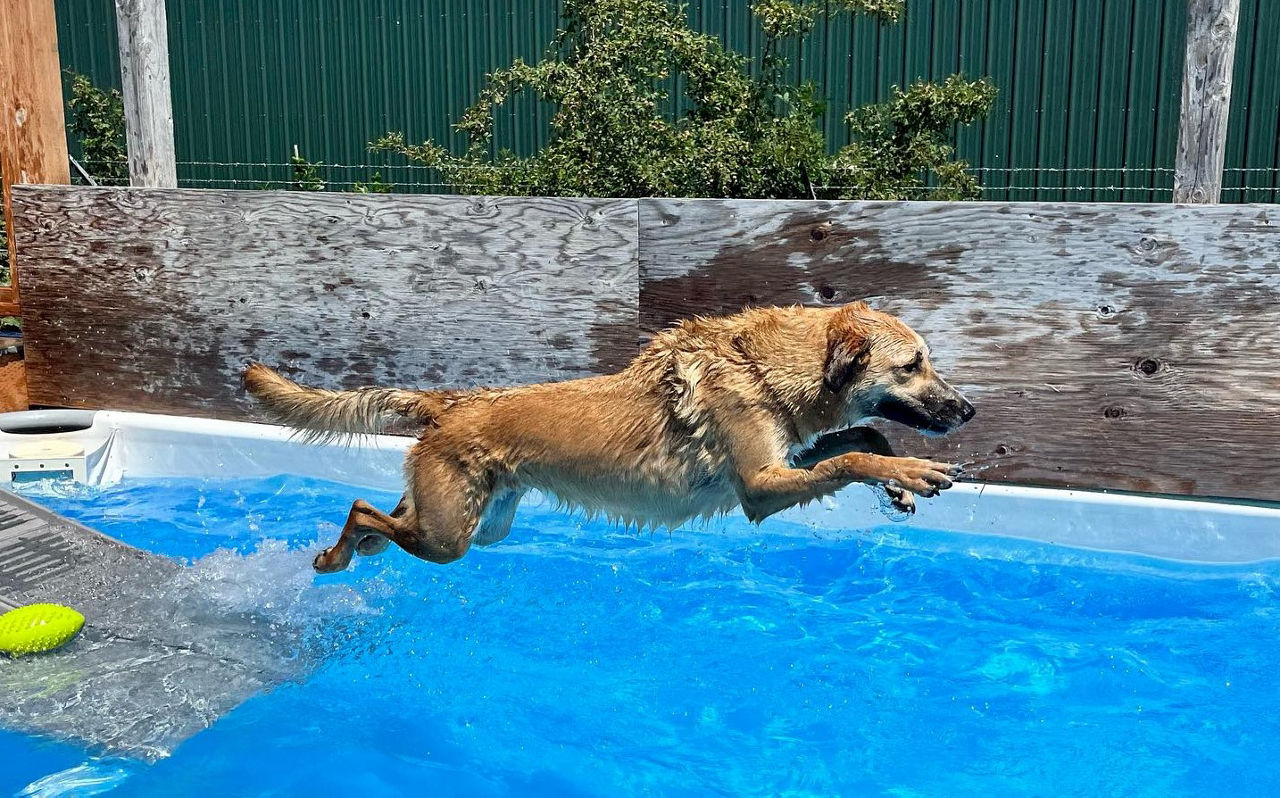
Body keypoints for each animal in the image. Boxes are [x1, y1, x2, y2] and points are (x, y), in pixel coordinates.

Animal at [244, 302, 972, 571]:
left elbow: (862, 436)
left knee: (382, 515)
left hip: (476, 524)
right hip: (451, 538)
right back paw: (335, 556)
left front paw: (899, 482)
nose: (967, 410)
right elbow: (849, 457)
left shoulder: (786, 456)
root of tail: (450, 401)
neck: (764, 365)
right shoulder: (760, 488)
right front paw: (909, 475)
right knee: (362, 508)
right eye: (913, 365)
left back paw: (345, 552)